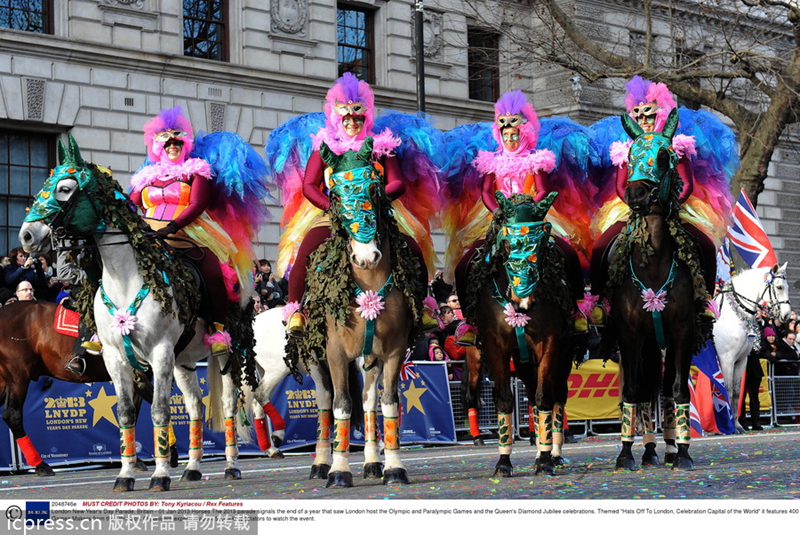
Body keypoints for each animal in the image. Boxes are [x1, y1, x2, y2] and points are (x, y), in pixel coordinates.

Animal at [18, 136, 250, 492]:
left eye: (66, 188)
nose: (27, 236)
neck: (127, 278)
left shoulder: (160, 353)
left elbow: (159, 411)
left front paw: (160, 474)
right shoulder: (116, 357)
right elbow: (126, 413)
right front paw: (126, 475)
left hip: (226, 352)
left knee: (227, 403)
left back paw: (231, 466)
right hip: (184, 361)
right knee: (196, 406)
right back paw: (193, 467)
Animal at [288, 143, 424, 490]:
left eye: (375, 189)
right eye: (335, 195)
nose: (365, 256)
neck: (369, 282)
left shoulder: (394, 350)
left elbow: (388, 402)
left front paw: (394, 467)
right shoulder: (335, 353)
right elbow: (341, 404)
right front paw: (338, 471)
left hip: (369, 356)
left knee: (368, 399)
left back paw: (373, 463)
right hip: (313, 354)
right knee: (326, 399)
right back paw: (321, 463)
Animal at [462, 191, 576, 476]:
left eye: (542, 244)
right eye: (505, 244)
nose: (523, 299)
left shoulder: (550, 342)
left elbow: (545, 397)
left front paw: (546, 460)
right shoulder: (495, 345)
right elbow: (504, 400)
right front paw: (503, 462)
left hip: (563, 353)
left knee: (556, 394)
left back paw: (553, 452)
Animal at [608, 108, 708, 468]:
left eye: (664, 156)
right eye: (629, 157)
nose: (637, 194)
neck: (652, 265)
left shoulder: (682, 331)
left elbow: (678, 390)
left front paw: (684, 453)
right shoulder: (628, 333)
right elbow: (632, 391)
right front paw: (625, 454)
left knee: (663, 390)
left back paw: (666, 448)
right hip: (649, 342)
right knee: (647, 390)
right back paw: (649, 449)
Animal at [716, 264, 792, 436]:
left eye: (788, 287)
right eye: (779, 287)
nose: (786, 315)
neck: (733, 315)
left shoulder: (740, 361)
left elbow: (737, 393)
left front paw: (737, 426)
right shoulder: (726, 359)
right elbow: (728, 390)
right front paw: (729, 426)